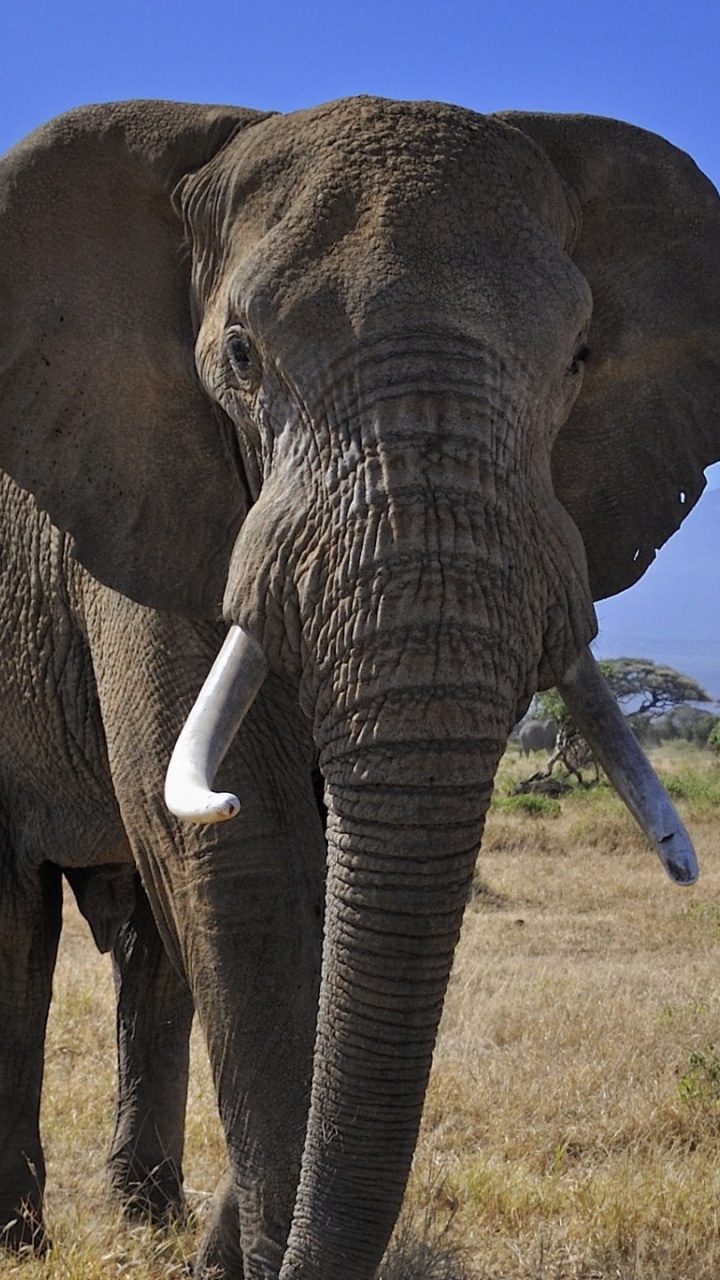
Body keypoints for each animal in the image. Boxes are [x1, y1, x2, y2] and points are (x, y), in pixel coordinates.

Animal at [1, 95, 719, 1279]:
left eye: (579, 356)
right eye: (241, 354)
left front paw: (225, 1250)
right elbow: (240, 846)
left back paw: (144, 1217)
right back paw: (24, 1233)